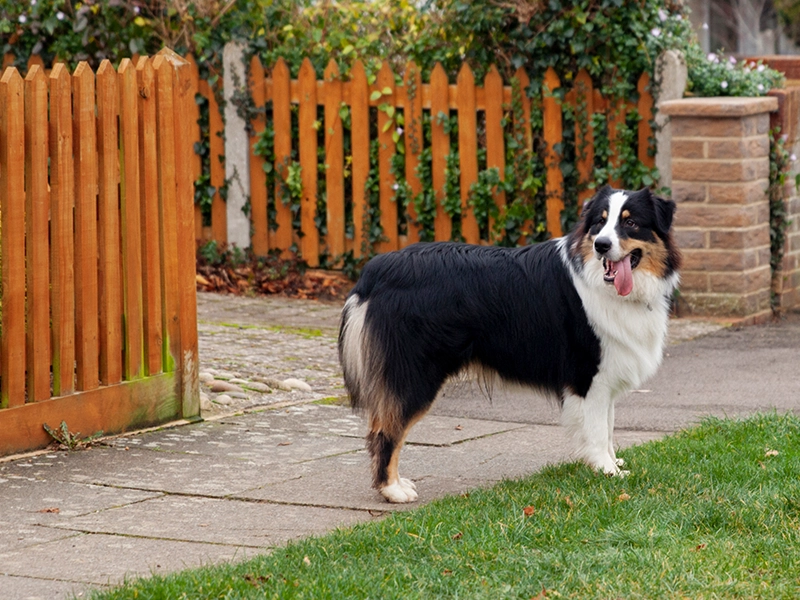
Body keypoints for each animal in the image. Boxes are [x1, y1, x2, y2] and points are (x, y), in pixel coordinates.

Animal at [338, 186, 680, 502]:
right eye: (600, 222)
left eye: (631, 222)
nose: (601, 245)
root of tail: (376, 270)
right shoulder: (588, 376)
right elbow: (596, 431)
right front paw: (607, 472)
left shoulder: (605, 378)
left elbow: (607, 428)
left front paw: (611, 463)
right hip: (416, 374)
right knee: (386, 431)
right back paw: (392, 490)